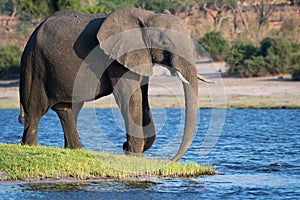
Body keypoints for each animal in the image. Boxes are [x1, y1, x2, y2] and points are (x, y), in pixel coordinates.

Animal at [18, 7, 211, 161]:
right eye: (165, 43)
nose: (171, 160)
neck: (147, 16)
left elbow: (142, 98)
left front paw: (130, 149)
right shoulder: (116, 60)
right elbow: (131, 98)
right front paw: (133, 155)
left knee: (68, 109)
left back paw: (75, 150)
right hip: (35, 64)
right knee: (35, 111)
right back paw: (30, 148)